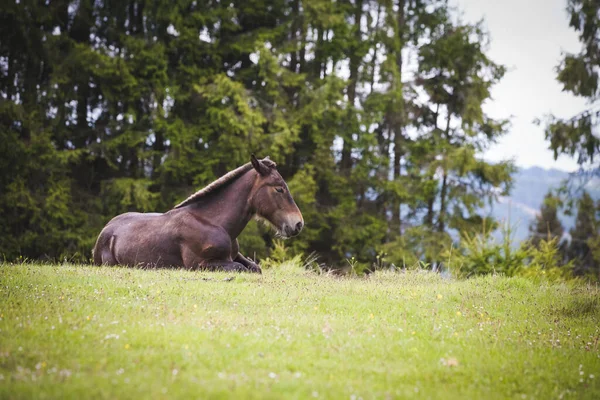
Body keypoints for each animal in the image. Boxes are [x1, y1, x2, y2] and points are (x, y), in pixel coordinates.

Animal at [92, 155, 304, 274]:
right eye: (279, 189)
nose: (298, 224)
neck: (214, 223)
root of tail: (107, 228)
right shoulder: (200, 265)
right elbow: (241, 269)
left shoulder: (234, 256)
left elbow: (255, 267)